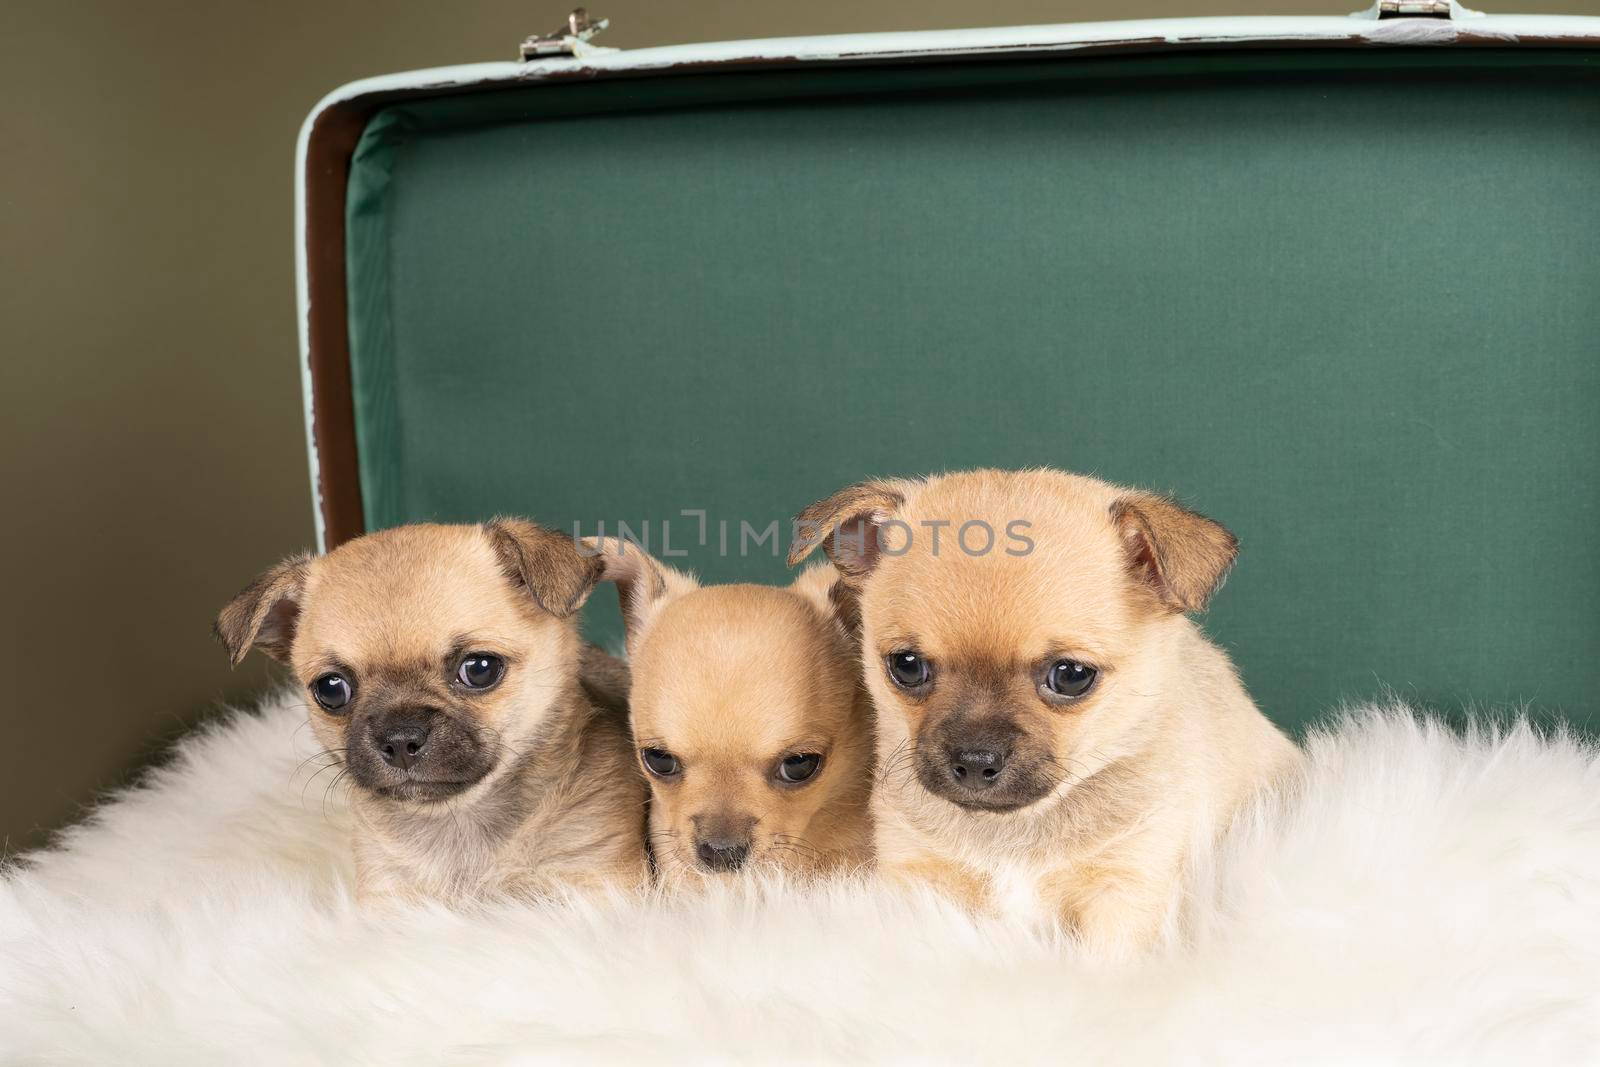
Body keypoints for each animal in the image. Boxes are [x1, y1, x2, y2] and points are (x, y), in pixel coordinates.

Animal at [214, 521, 649, 908]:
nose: (400, 739)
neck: (459, 821)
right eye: (331, 689)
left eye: (480, 669)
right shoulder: (389, 893)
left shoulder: (593, 878)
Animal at [787, 470, 1299, 953]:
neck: (1013, 830)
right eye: (907, 666)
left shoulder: (1124, 891)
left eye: (1071, 675)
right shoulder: (918, 874)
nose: (974, 761)